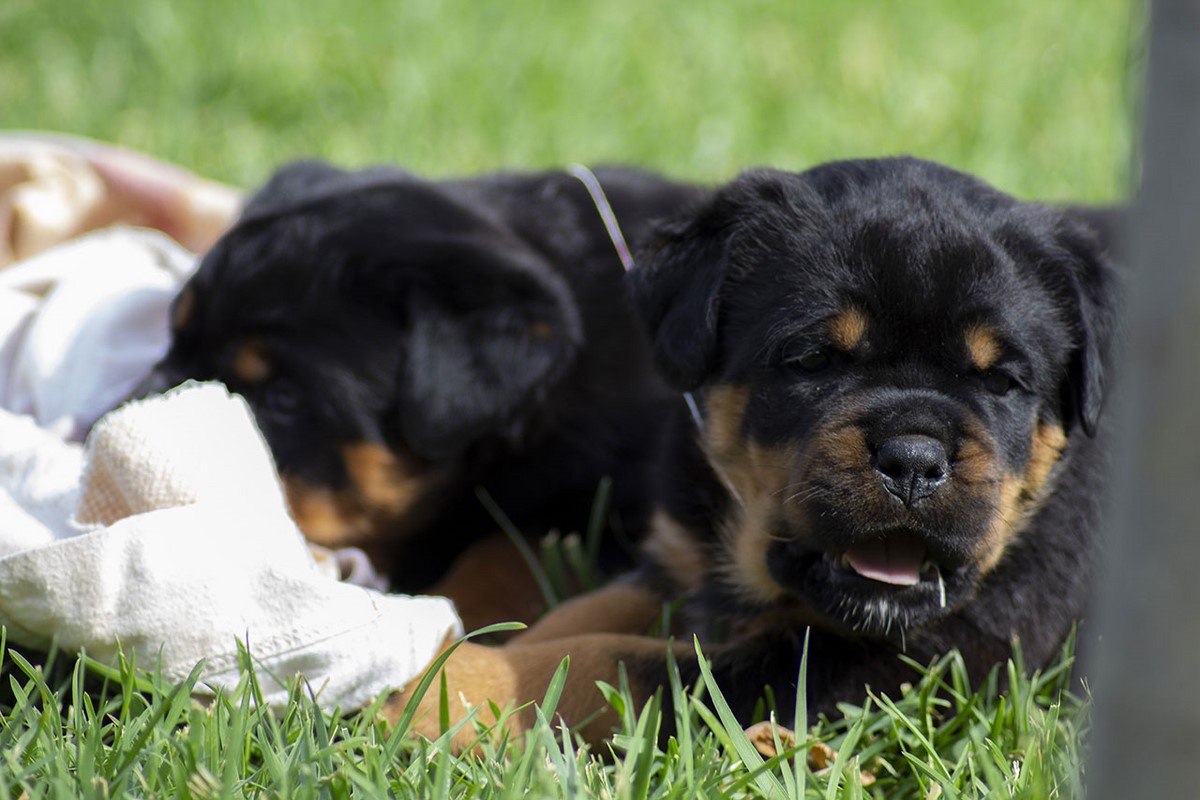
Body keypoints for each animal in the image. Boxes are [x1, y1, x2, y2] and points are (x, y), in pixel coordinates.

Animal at [398, 158, 1118, 753]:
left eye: (1002, 382)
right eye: (814, 359)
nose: (913, 459)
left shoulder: (901, 661)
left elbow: (614, 663)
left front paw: (431, 687)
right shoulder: (676, 557)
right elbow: (584, 615)